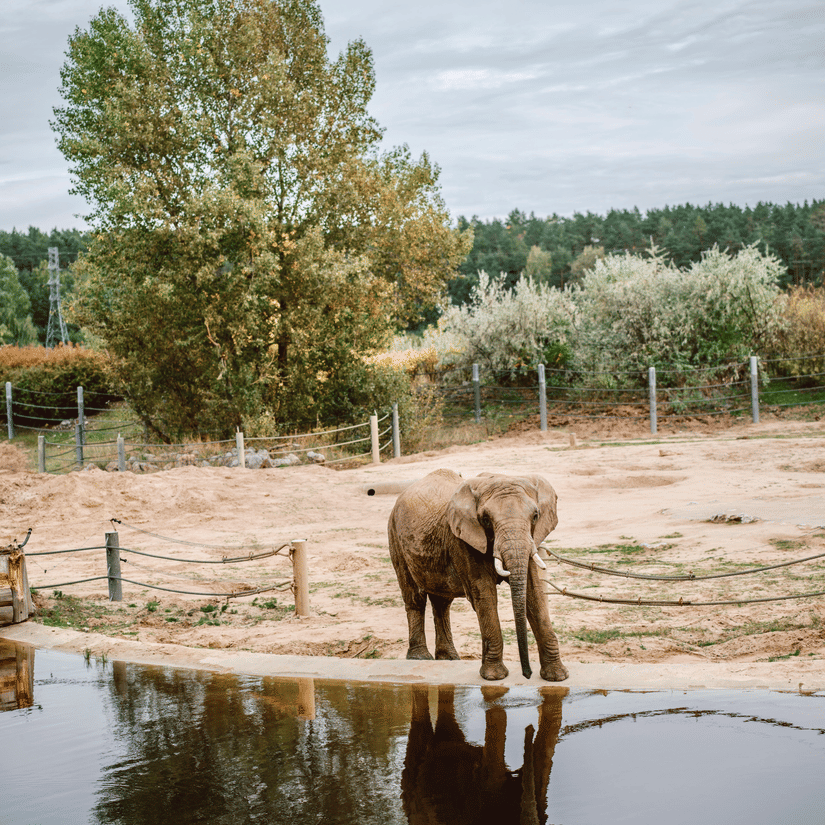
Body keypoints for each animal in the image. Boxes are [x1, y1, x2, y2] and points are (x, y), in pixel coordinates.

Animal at [388, 469, 568, 682]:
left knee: (442, 602)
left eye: (535, 516)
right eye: (486, 519)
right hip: (395, 537)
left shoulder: (531, 539)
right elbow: (485, 594)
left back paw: (449, 659)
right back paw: (420, 658)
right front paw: (494, 676)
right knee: (414, 597)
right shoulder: (461, 540)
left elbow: (534, 594)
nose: (527, 674)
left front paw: (557, 676)